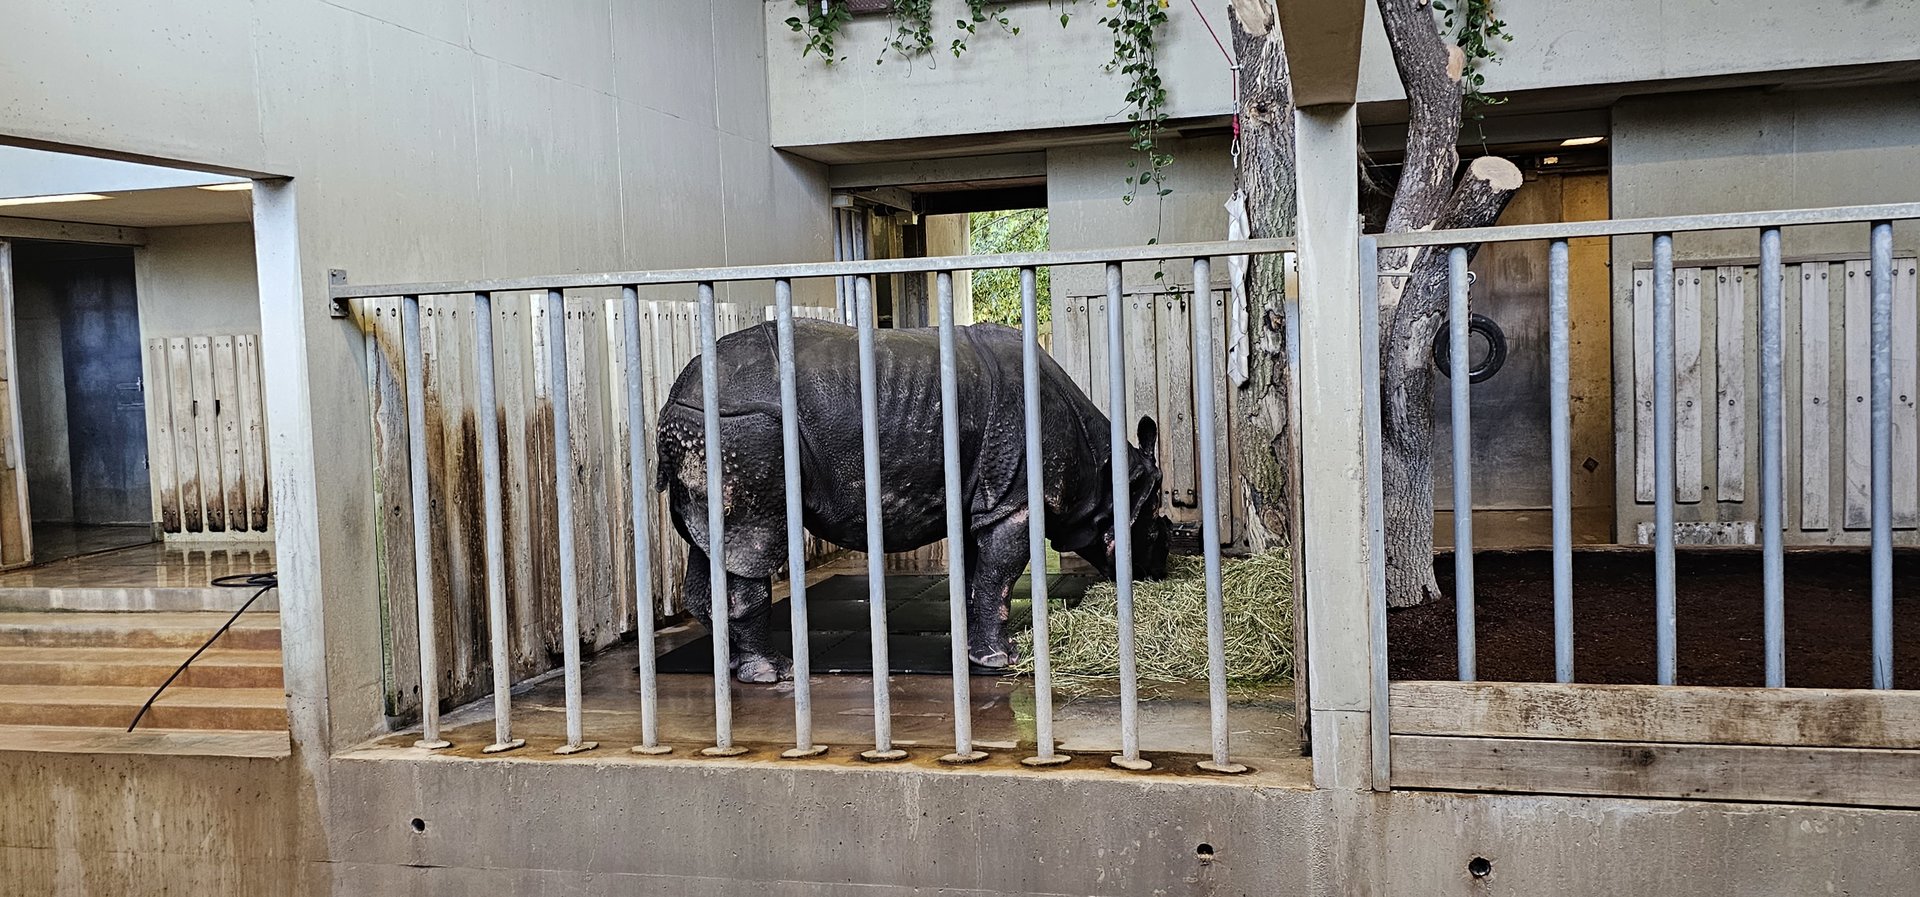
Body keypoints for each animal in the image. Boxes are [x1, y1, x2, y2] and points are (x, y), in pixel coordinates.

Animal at [656, 318, 1172, 683]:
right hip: (745, 428)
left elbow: (978, 578)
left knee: (714, 547)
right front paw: (1002, 661)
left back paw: (731, 670)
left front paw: (972, 655)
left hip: (713, 429)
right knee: (755, 542)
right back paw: (773, 673)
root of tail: (676, 393)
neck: (1105, 471)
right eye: (1155, 524)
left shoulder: (979, 499)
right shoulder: (1014, 502)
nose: (1161, 571)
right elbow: (999, 578)